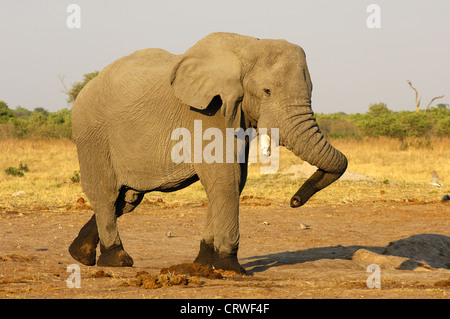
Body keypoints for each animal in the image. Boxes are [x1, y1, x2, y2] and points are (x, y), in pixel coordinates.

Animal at [67, 31, 348, 276]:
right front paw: (231, 268)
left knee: (127, 199)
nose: (294, 201)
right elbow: (225, 178)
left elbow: (234, 180)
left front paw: (205, 264)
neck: (246, 48)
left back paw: (79, 254)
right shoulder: (206, 112)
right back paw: (117, 259)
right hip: (93, 135)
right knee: (106, 193)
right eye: (267, 91)